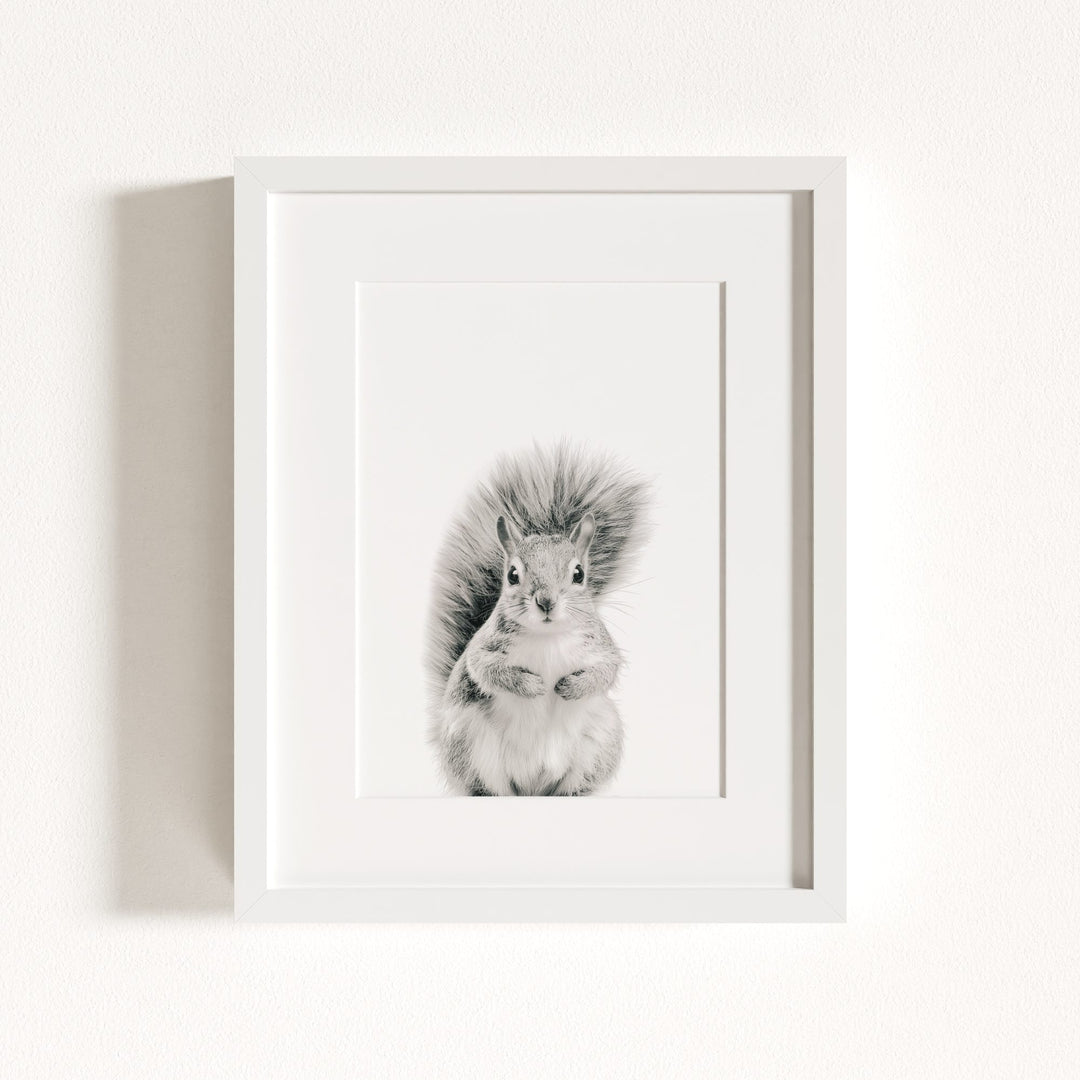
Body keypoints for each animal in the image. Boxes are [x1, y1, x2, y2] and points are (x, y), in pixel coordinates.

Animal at [426, 444, 650, 796]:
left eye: (579, 573)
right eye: (512, 575)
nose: (546, 601)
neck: (548, 637)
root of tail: (533, 787)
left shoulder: (601, 647)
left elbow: (606, 671)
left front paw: (570, 686)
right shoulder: (483, 648)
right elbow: (485, 669)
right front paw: (532, 685)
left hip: (600, 743)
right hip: (470, 745)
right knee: (488, 787)